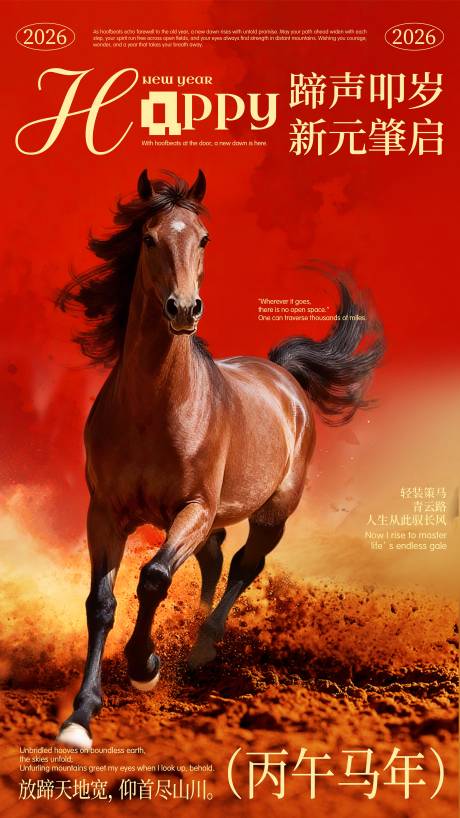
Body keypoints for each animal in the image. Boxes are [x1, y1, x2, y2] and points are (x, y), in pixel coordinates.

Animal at [55, 169, 384, 749]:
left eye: (204, 239)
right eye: (148, 238)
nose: (184, 309)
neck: (154, 410)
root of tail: (283, 377)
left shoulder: (194, 508)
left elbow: (154, 578)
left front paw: (145, 668)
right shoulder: (106, 513)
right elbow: (101, 603)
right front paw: (80, 717)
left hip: (273, 513)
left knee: (244, 565)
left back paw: (202, 648)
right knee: (213, 561)